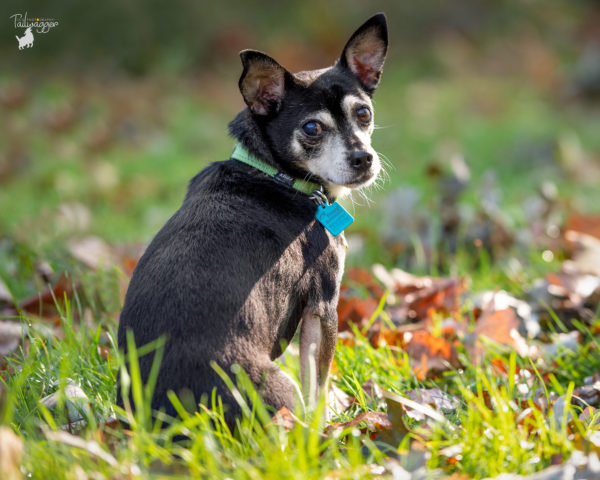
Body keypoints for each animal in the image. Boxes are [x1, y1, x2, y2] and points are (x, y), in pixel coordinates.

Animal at [117, 12, 390, 428]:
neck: (275, 173)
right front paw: (326, 424)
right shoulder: (323, 306)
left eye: (364, 114)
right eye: (312, 128)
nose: (364, 158)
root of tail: (166, 420)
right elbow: (319, 384)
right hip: (278, 387)